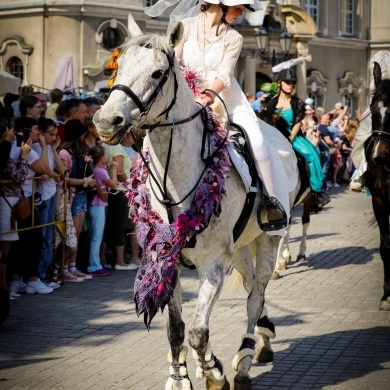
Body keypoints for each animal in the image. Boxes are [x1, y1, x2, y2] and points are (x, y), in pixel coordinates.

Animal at [93, 16, 298, 390]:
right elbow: (177, 329)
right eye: (119, 67)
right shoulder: (167, 261)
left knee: (256, 296)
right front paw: (180, 378)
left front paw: (214, 372)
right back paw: (259, 342)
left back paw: (245, 361)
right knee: (251, 289)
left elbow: (199, 332)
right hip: (241, 247)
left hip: (268, 239)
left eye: (158, 73)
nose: (105, 121)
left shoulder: (213, 264)